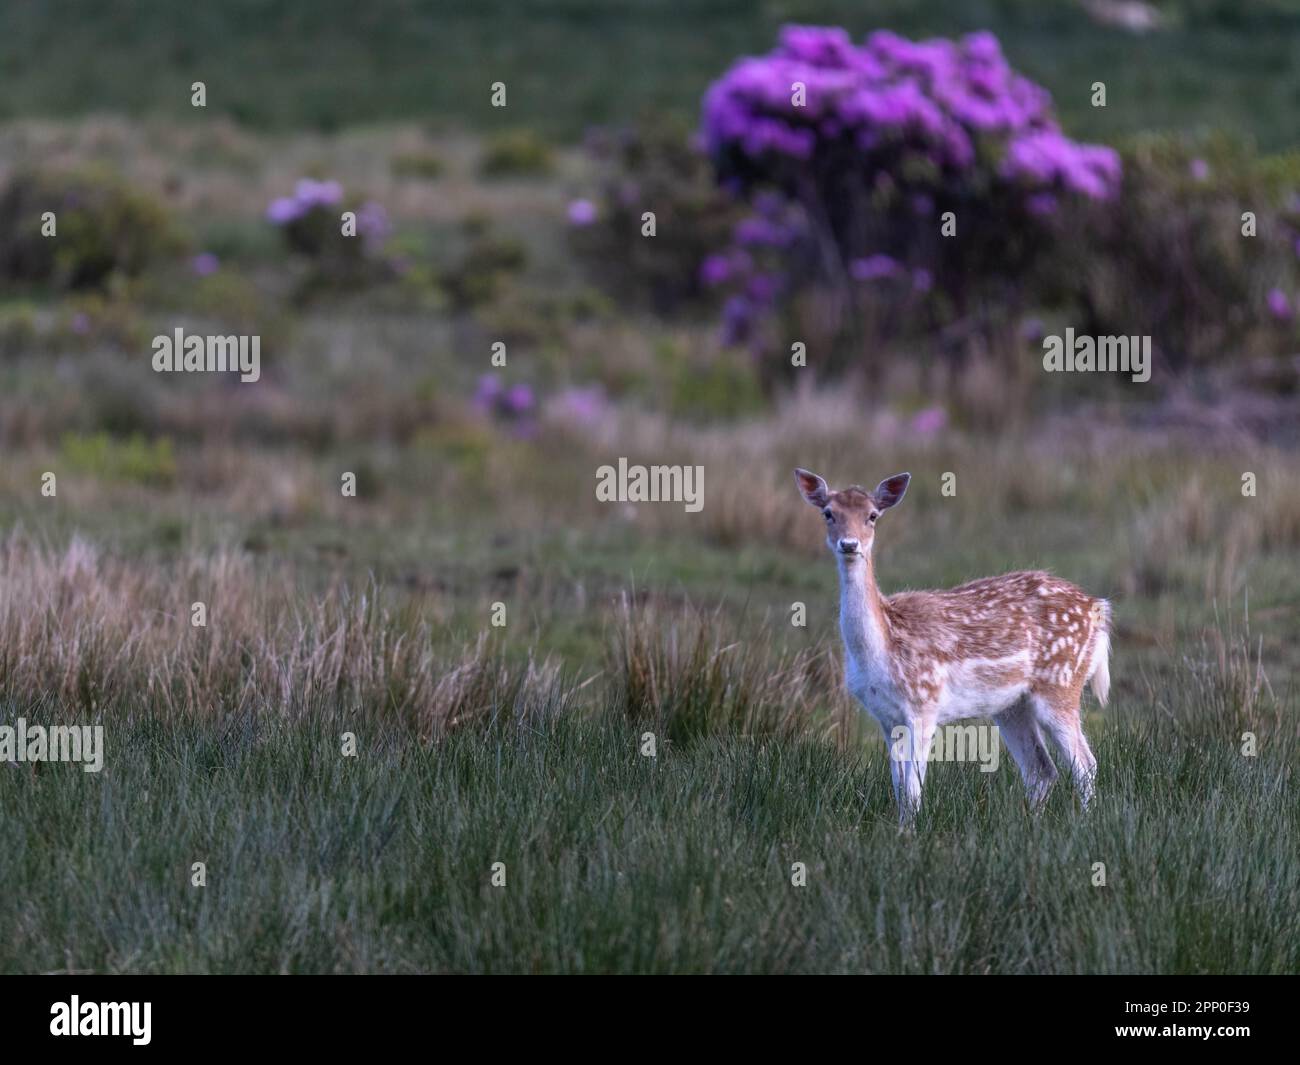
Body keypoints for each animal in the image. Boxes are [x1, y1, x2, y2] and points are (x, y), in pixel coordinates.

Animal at [790, 468, 1107, 827]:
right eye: (828, 513)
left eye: (872, 515)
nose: (849, 544)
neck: (883, 646)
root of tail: (1099, 610)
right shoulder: (886, 716)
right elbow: (899, 785)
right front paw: (901, 828)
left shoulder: (924, 704)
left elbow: (913, 789)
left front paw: (909, 832)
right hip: (1012, 706)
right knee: (1041, 769)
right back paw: (1031, 824)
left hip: (1061, 683)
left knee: (1085, 763)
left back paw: (1085, 822)